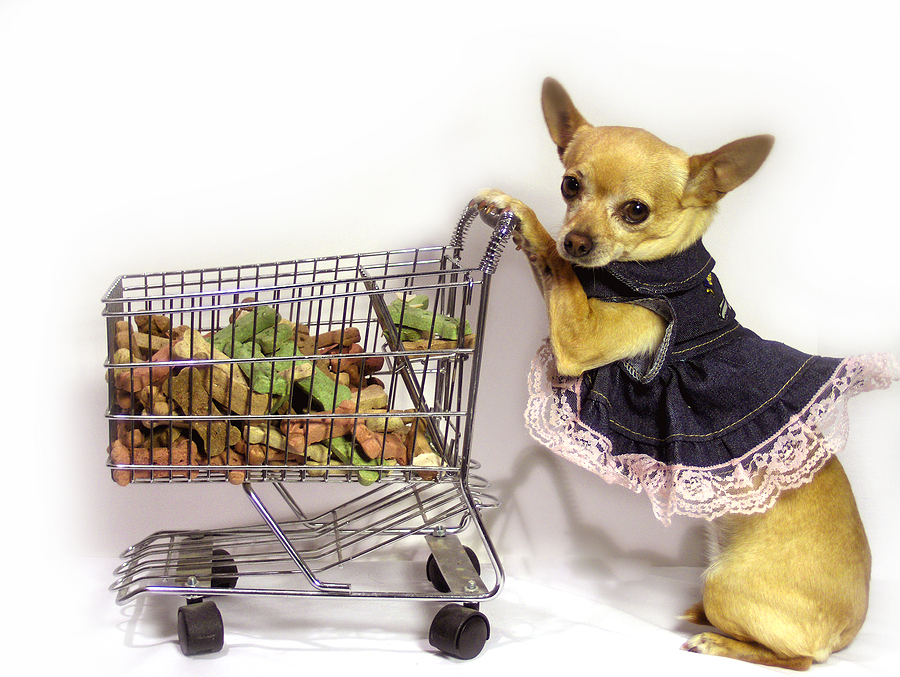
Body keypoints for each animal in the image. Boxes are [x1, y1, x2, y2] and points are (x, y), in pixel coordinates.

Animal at [474, 76, 884, 668]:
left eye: (635, 211)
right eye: (570, 185)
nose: (578, 239)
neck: (659, 269)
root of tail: (849, 631)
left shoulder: (582, 336)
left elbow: (557, 267)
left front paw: (519, 215)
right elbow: (563, 271)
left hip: (727, 584)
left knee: (796, 659)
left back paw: (713, 637)